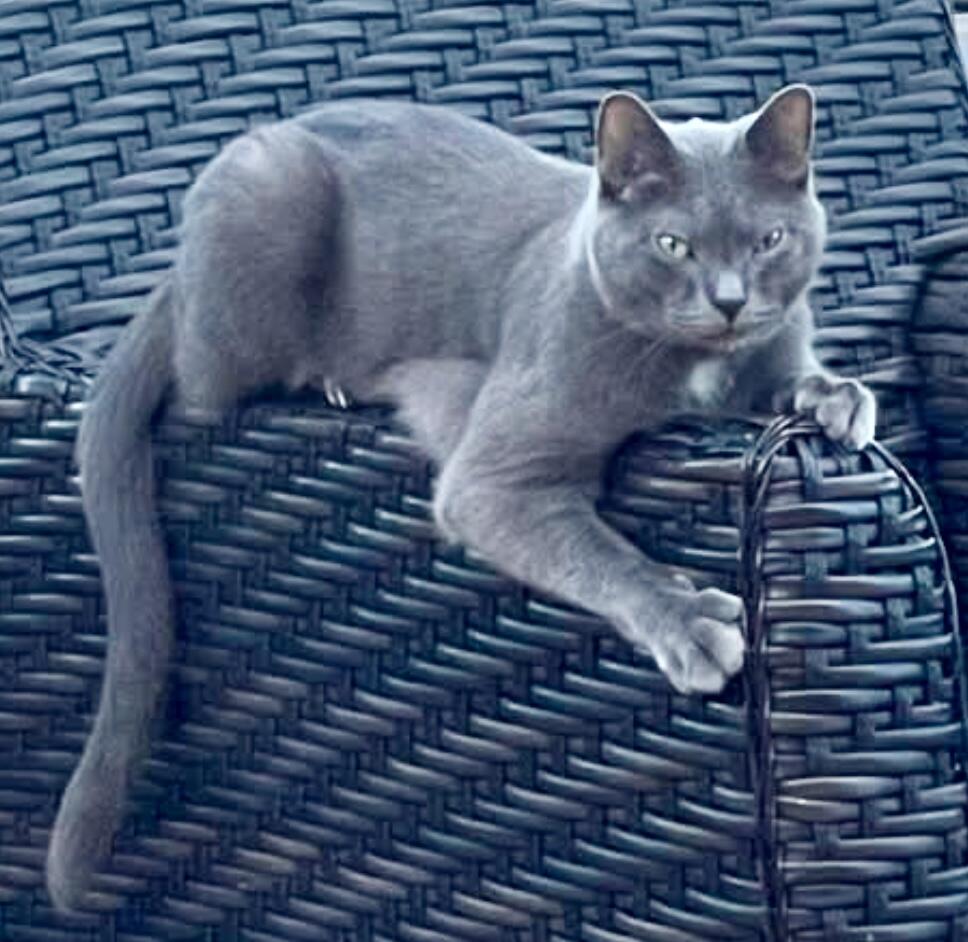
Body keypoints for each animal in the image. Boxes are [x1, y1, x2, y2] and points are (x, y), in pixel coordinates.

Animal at [47, 85, 876, 912]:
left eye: (770, 239)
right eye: (673, 245)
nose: (731, 301)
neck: (699, 372)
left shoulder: (771, 349)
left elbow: (789, 377)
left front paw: (837, 397)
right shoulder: (495, 473)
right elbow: (595, 550)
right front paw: (690, 621)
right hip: (264, 199)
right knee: (202, 385)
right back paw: (328, 379)